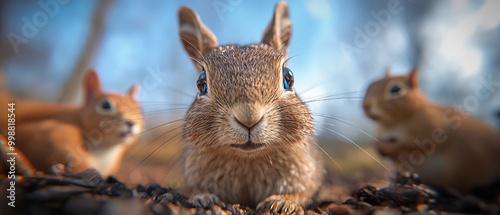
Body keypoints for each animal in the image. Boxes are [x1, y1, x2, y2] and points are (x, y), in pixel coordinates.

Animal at [178, 1, 322, 213]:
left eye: (288, 77)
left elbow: (302, 193)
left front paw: (282, 202)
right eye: (201, 82)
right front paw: (204, 198)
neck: (248, 158)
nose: (249, 117)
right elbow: (194, 190)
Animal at [364, 67, 500, 191]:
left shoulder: (429, 129)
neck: (392, 123)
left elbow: (415, 146)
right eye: (370, 84)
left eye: (396, 89)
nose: (366, 105)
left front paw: (386, 147)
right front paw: (378, 146)